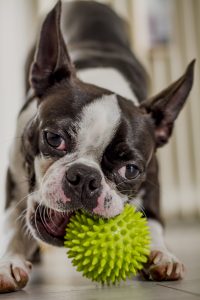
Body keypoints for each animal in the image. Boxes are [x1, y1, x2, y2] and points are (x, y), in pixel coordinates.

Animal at [0, 0, 194, 292]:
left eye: (131, 170)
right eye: (54, 139)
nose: (84, 177)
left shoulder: (152, 179)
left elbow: (154, 221)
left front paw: (161, 253)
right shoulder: (15, 179)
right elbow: (12, 223)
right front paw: (9, 260)